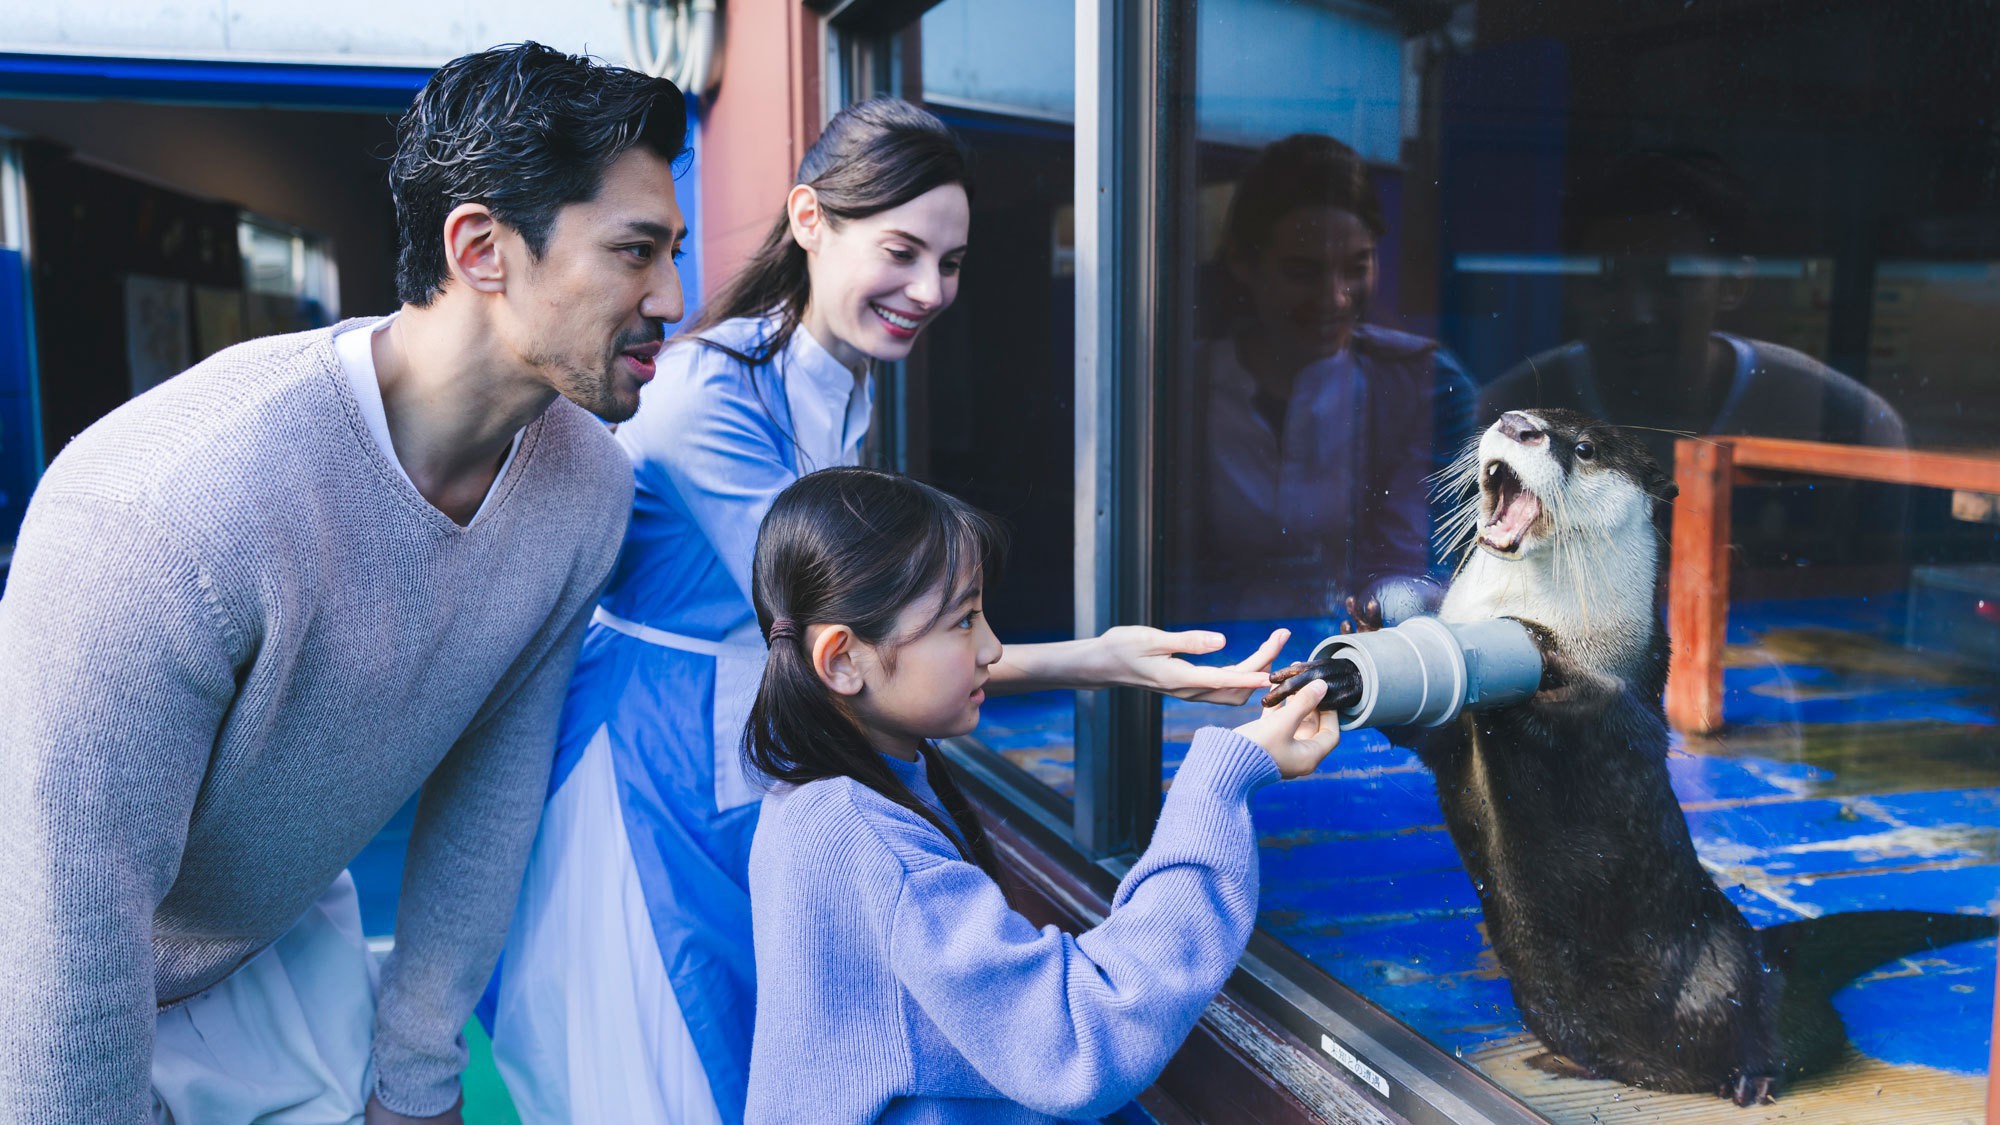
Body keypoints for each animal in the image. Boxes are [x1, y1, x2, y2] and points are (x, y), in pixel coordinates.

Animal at [1272, 406, 1992, 1096]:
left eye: (1584, 447)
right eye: (1520, 411)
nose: (1516, 426)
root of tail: (1768, 951)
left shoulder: (1626, 709)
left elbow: (1584, 717)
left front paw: (1532, 650)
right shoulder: (1447, 741)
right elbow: (1420, 729)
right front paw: (1350, 649)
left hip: (1756, 996)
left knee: (1801, 1040)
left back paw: (1755, 1080)